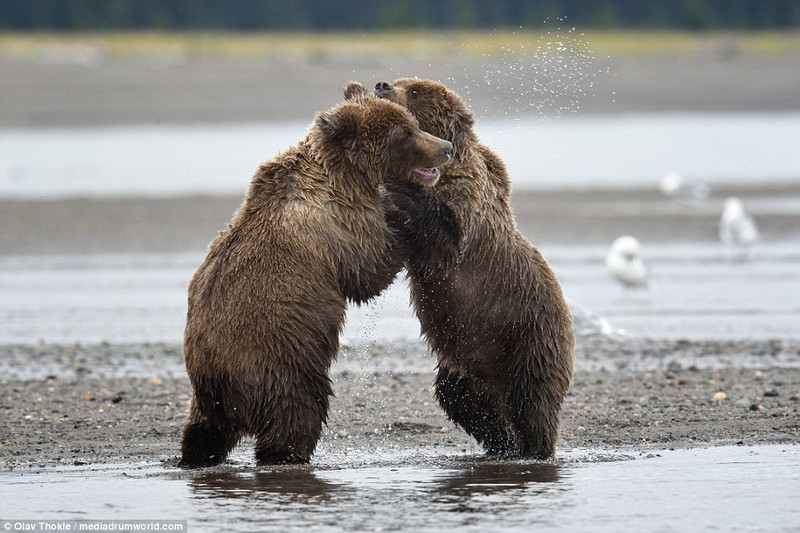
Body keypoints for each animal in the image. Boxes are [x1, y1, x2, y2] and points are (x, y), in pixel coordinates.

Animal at [180, 88, 454, 466]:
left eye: (412, 123)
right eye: (405, 134)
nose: (446, 147)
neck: (347, 178)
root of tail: (220, 382)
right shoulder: (335, 227)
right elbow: (367, 272)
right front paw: (406, 219)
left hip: (206, 391)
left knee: (204, 429)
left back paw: (196, 454)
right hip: (280, 362)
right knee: (299, 411)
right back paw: (286, 453)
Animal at [346, 78, 572, 458]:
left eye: (415, 90)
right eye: (400, 81)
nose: (382, 84)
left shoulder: (468, 205)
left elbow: (448, 236)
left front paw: (400, 189)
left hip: (529, 336)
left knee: (532, 400)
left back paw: (532, 447)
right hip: (463, 367)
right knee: (462, 401)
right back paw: (502, 443)